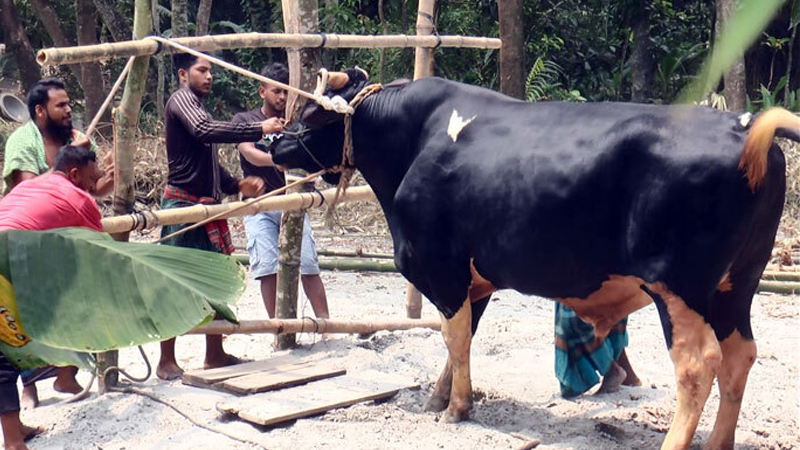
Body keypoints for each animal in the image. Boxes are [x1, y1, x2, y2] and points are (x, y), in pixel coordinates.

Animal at [274, 68, 800, 450]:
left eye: (315, 113)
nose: (274, 140)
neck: (414, 140)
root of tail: (743, 126)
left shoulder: (441, 267)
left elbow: (454, 335)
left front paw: (456, 408)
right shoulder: (471, 279)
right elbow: (460, 337)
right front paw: (440, 396)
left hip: (679, 289)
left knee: (697, 366)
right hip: (737, 286)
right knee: (740, 356)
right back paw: (718, 442)